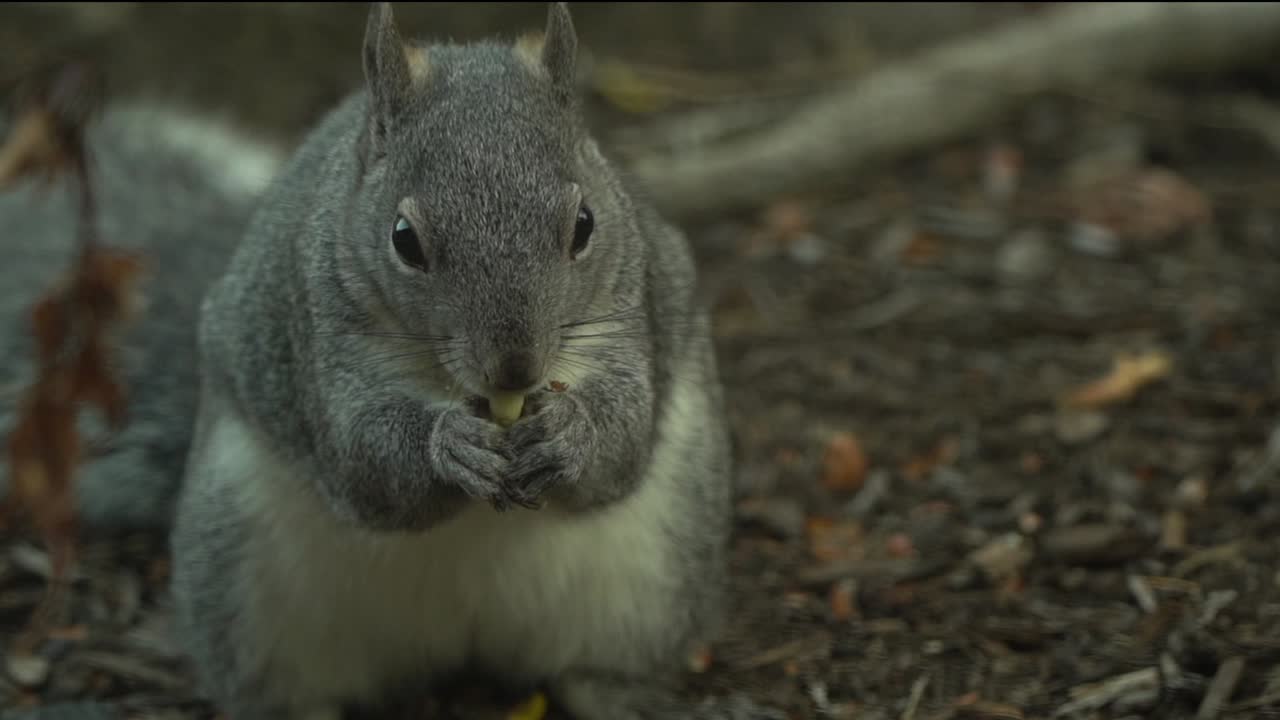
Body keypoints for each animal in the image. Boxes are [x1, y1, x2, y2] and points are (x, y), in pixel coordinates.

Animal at [2, 4, 782, 720]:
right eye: (404, 239)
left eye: (585, 224)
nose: (515, 369)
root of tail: (461, 638)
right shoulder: (316, 337)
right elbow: (364, 462)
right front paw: (448, 447)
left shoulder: (633, 309)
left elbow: (622, 442)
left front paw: (570, 433)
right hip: (244, 589)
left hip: (653, 583)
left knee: (602, 674)